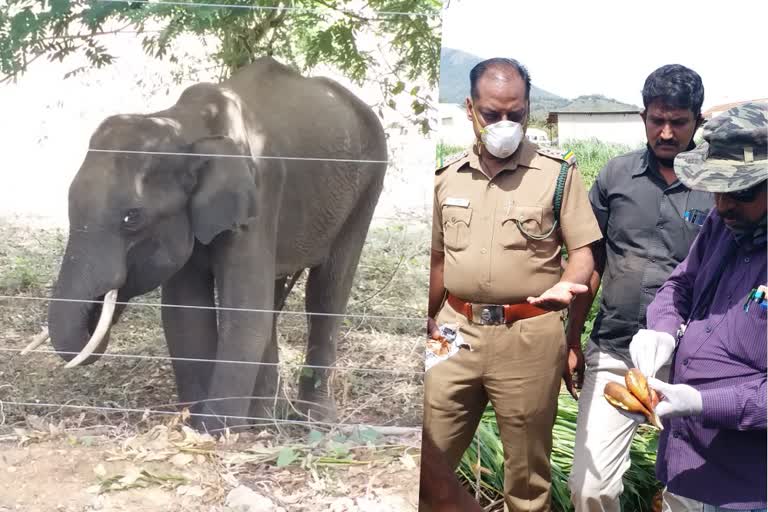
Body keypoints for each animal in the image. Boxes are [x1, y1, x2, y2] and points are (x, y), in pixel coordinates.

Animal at [39, 56, 388, 430]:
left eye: (132, 217)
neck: (182, 124)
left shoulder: (259, 196)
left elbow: (244, 309)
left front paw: (213, 430)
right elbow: (185, 311)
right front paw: (195, 424)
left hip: (369, 184)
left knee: (328, 290)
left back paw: (313, 420)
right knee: (275, 295)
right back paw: (265, 419)